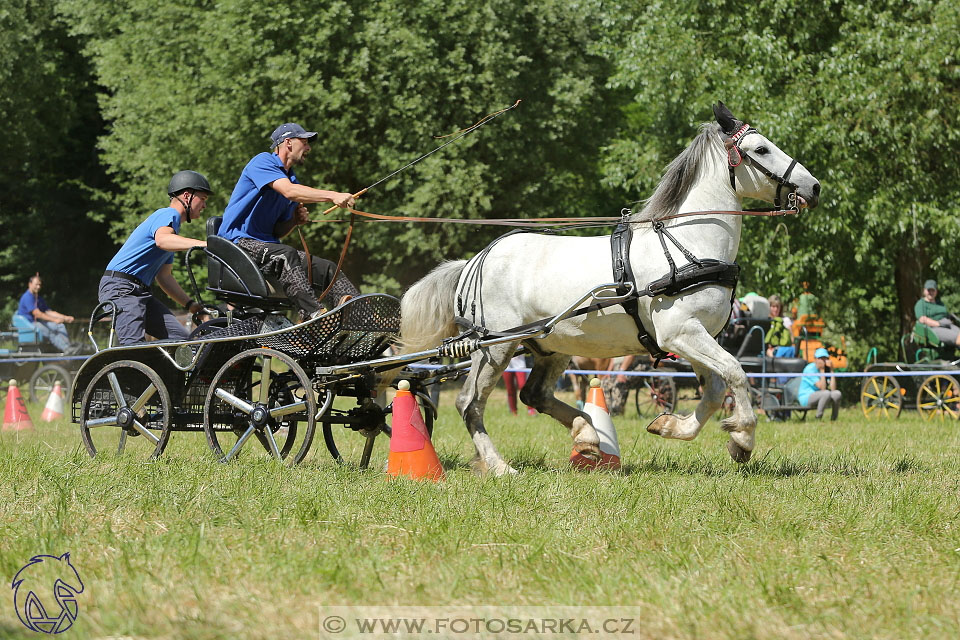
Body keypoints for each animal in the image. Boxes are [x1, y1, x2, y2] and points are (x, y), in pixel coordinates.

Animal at [396, 102, 816, 476]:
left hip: (549, 344)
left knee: (535, 395)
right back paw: (501, 467)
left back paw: (586, 435)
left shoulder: (694, 336)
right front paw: (743, 438)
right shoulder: (680, 332)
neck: (687, 245)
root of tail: (474, 262)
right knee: (470, 403)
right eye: (761, 149)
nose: (814, 186)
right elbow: (735, 373)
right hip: (496, 345)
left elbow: (714, 389)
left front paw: (671, 425)